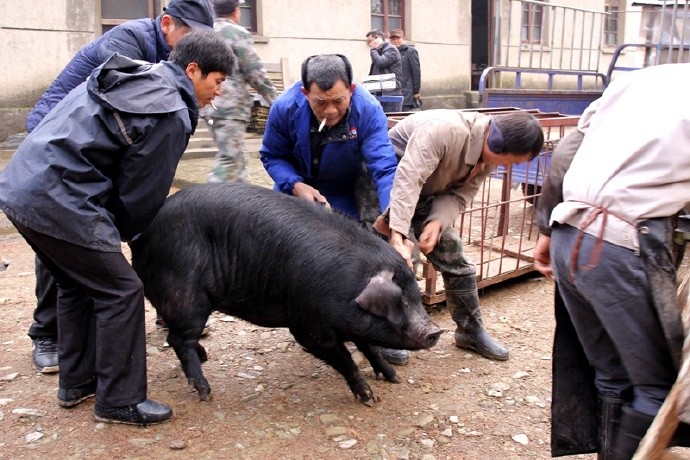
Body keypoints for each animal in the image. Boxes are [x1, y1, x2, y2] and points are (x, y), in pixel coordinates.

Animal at [129, 183, 440, 406]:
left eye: (415, 294)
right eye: (400, 302)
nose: (435, 331)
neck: (348, 283)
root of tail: (144, 235)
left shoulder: (353, 324)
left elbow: (370, 347)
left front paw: (393, 378)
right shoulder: (308, 326)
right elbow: (343, 357)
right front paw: (370, 398)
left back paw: (204, 358)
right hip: (185, 295)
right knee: (179, 339)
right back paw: (205, 392)